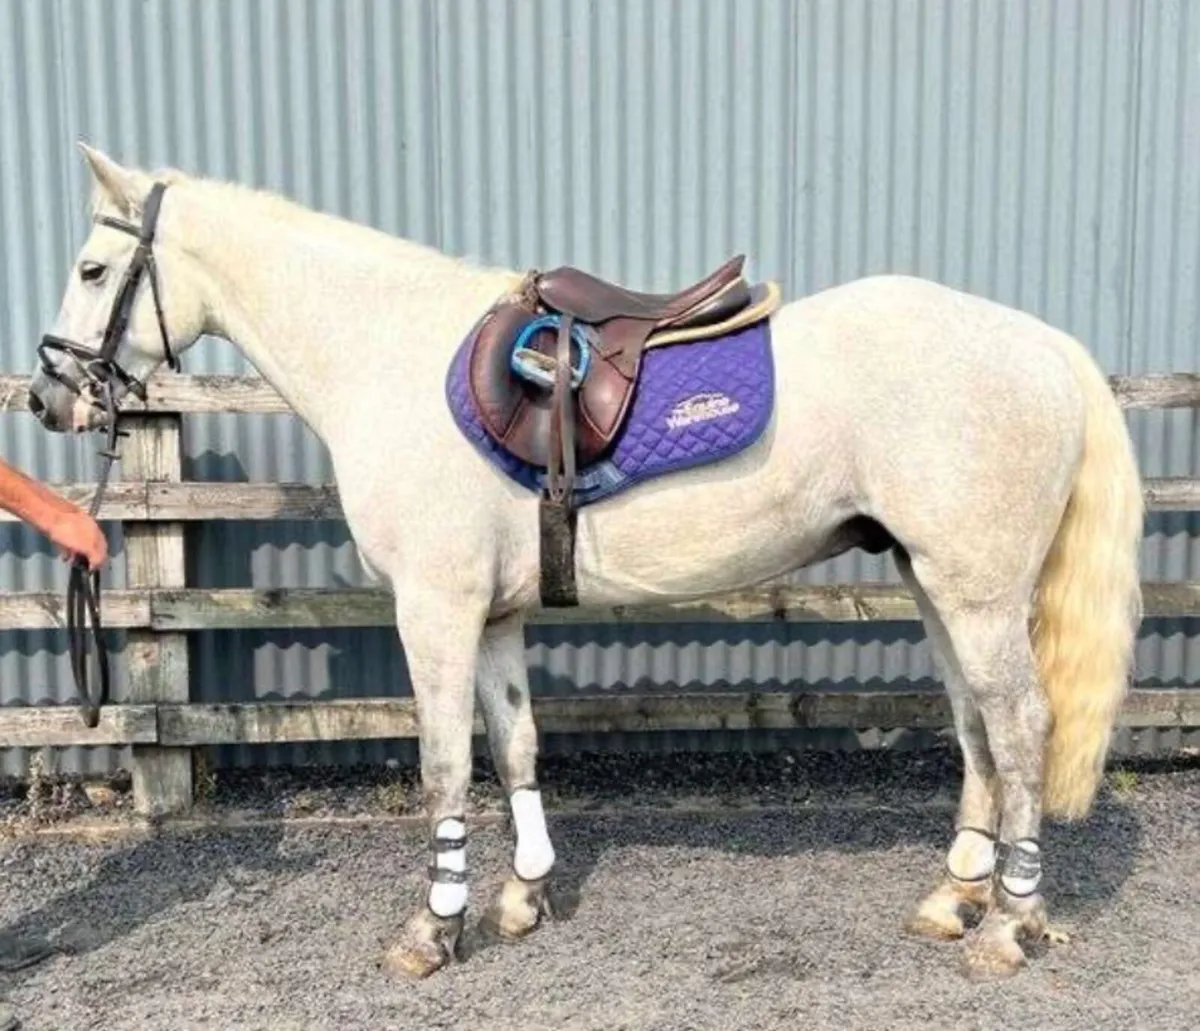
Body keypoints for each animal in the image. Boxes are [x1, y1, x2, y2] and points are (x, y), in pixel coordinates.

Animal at [27, 144, 1143, 982]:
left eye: (92, 271)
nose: (48, 398)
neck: (387, 353)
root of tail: (1045, 345)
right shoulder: (492, 613)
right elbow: (516, 743)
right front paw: (523, 894)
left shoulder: (435, 607)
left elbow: (443, 762)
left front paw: (434, 927)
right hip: (937, 583)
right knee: (978, 728)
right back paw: (956, 896)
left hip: (978, 592)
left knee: (1021, 725)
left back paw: (1010, 924)